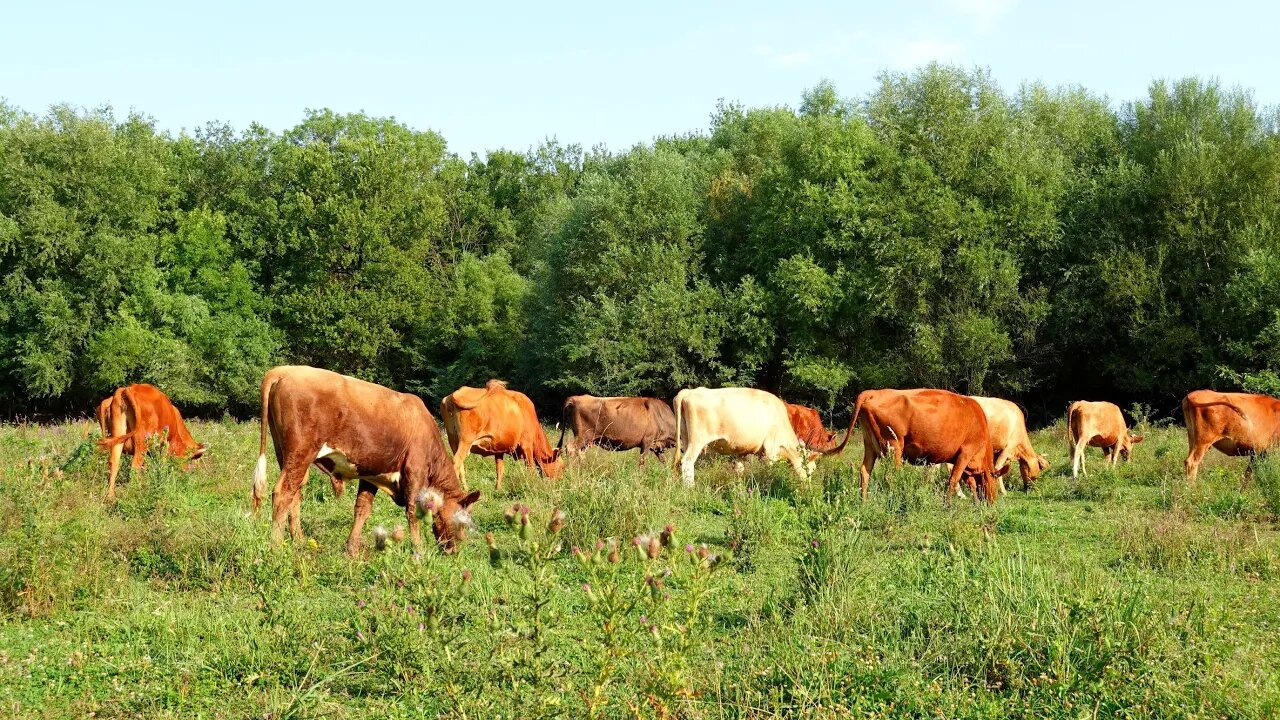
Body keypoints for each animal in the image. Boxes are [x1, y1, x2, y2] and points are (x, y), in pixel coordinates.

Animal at [249, 363, 481, 556]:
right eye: (463, 522)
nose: (454, 551)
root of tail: (282, 370)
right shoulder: (415, 471)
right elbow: (413, 512)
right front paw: (418, 551)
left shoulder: (371, 474)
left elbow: (362, 509)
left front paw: (351, 548)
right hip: (300, 453)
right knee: (283, 493)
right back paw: (276, 546)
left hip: (286, 454)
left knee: (295, 493)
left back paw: (298, 540)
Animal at [670, 384, 808, 484]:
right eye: (811, 468)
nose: (808, 485)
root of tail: (689, 391)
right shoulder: (771, 449)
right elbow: (769, 468)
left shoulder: (741, 451)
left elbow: (739, 468)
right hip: (697, 440)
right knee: (687, 462)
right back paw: (691, 488)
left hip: (685, 437)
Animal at [829, 389, 1008, 502]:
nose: (992, 503)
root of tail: (873, 392)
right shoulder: (965, 452)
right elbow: (954, 480)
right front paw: (947, 505)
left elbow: (970, 482)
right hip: (893, 446)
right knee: (891, 475)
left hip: (870, 445)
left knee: (865, 471)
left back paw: (864, 502)